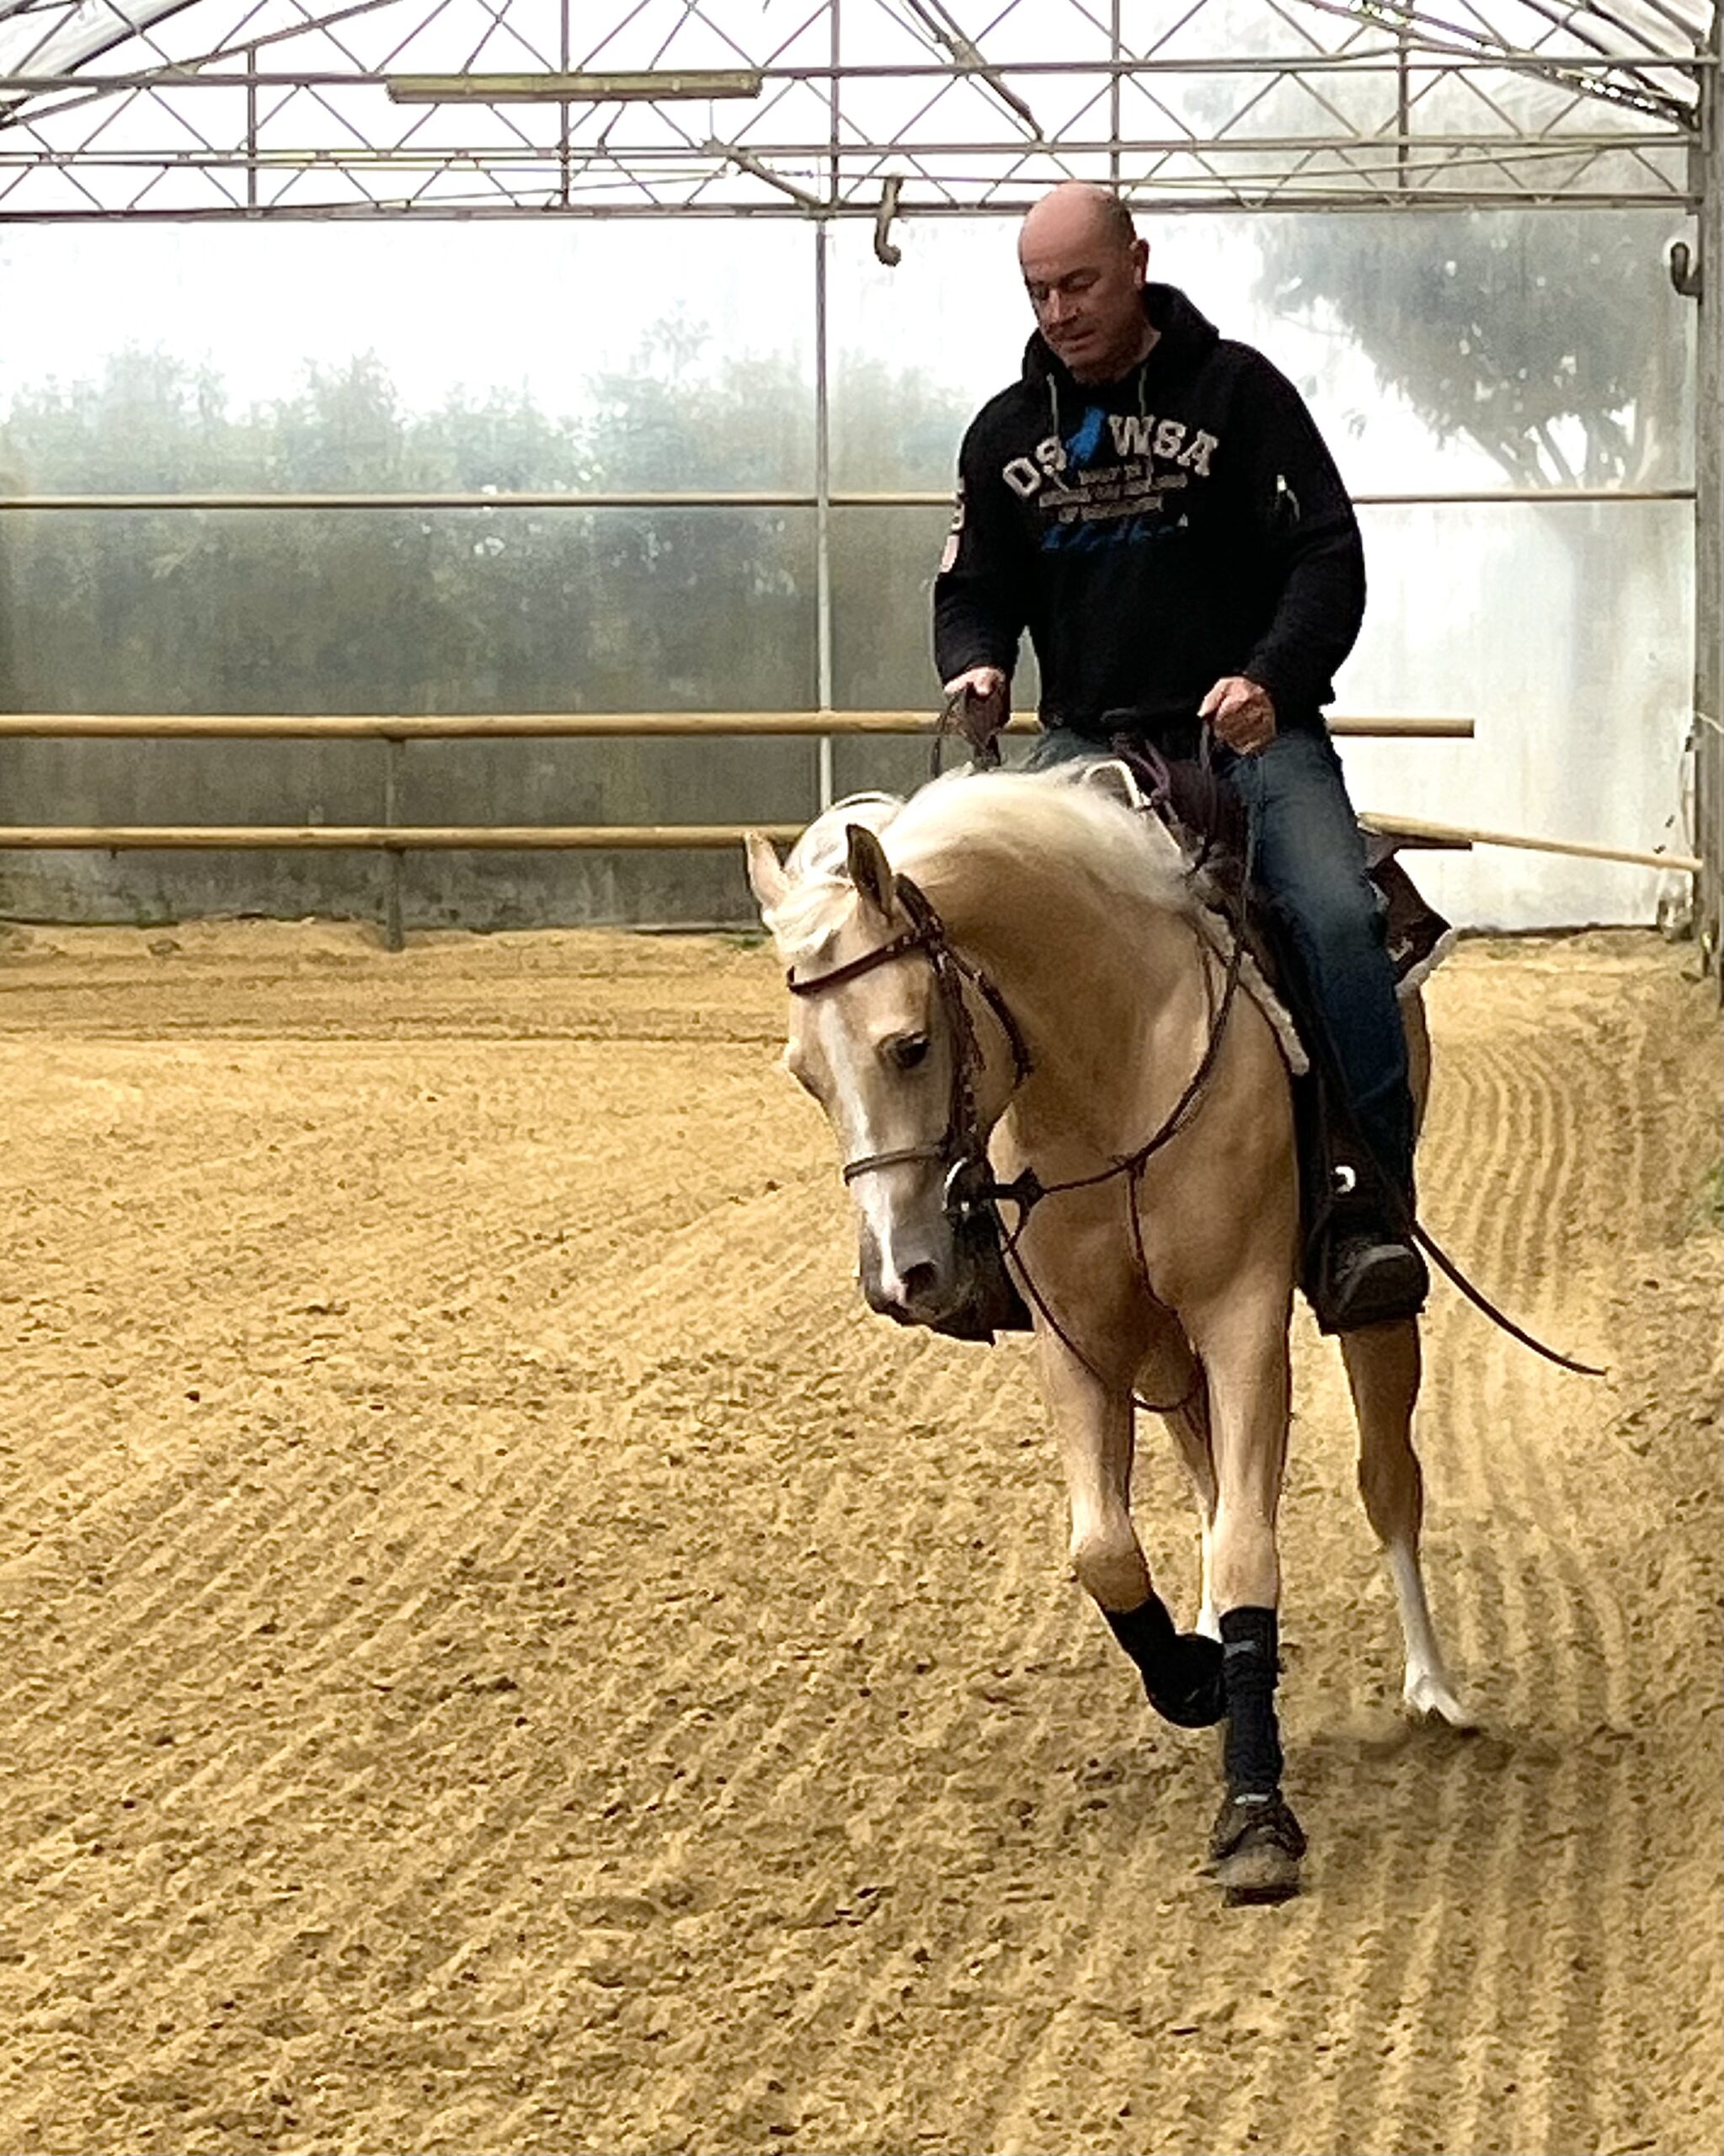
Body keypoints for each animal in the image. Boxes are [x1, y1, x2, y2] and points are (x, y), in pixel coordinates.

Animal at [744, 759, 1472, 1904]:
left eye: (909, 1045)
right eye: (802, 1072)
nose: (900, 1277)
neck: (1114, 1057)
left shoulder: (1241, 1313)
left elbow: (1250, 1549)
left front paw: (1255, 1815)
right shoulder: (1079, 1337)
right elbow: (1107, 1550)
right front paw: (1191, 1676)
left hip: (1369, 1305)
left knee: (1385, 1476)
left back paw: (1433, 1685)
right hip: (1161, 1346)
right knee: (1208, 1478)